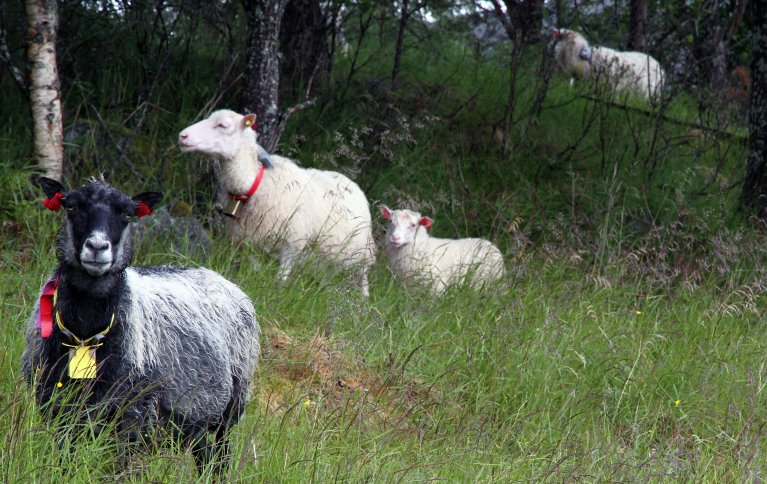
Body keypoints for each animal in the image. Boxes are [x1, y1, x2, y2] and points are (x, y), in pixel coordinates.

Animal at [178, 110, 376, 296]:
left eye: (223, 125)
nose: (182, 136)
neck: (255, 183)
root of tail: (349, 181)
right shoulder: (252, 242)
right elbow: (255, 271)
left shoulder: (293, 244)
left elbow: (280, 280)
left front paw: (276, 295)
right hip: (330, 253)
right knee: (328, 275)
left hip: (363, 249)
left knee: (363, 277)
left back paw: (363, 302)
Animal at [380, 204, 508, 294]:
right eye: (390, 221)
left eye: (413, 225)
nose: (395, 238)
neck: (425, 249)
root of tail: (490, 244)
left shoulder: (436, 288)